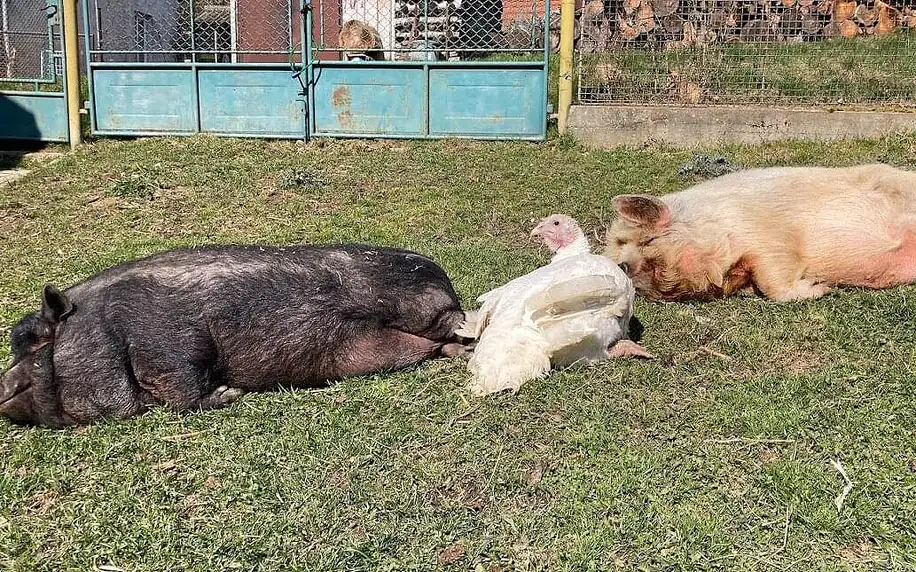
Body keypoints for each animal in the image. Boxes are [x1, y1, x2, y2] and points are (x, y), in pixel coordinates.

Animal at [0, 244, 468, 426]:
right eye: (15, 338)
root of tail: (444, 279)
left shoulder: (171, 348)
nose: (2, 381)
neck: (106, 327)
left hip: (419, 308)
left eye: (38, 339)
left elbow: (185, 387)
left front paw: (231, 393)